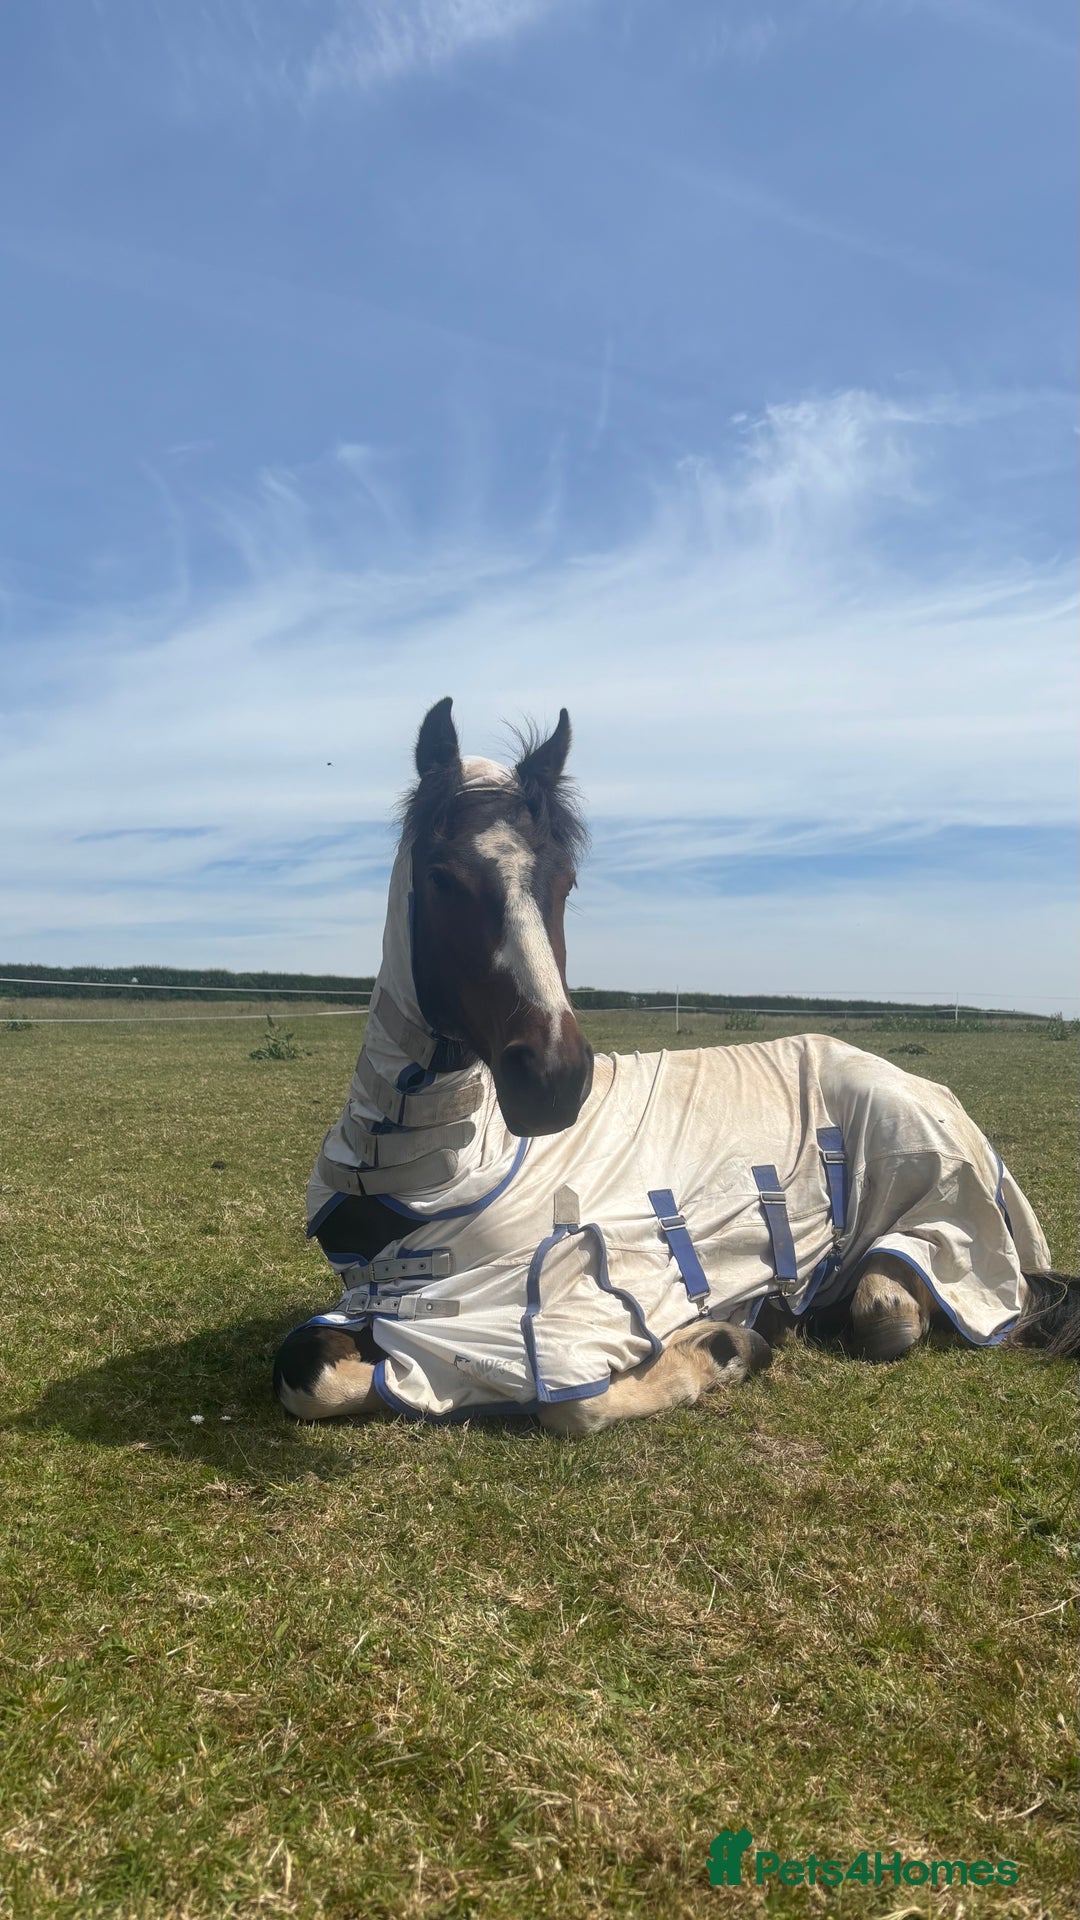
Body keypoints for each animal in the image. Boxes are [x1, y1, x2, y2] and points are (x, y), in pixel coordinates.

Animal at [273, 698, 1079, 1434]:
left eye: (565, 883)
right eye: (441, 877)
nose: (553, 1078)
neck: (435, 1173)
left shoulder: (561, 1308)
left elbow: (573, 1407)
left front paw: (721, 1347)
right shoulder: (387, 1312)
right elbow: (304, 1373)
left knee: (898, 1303)